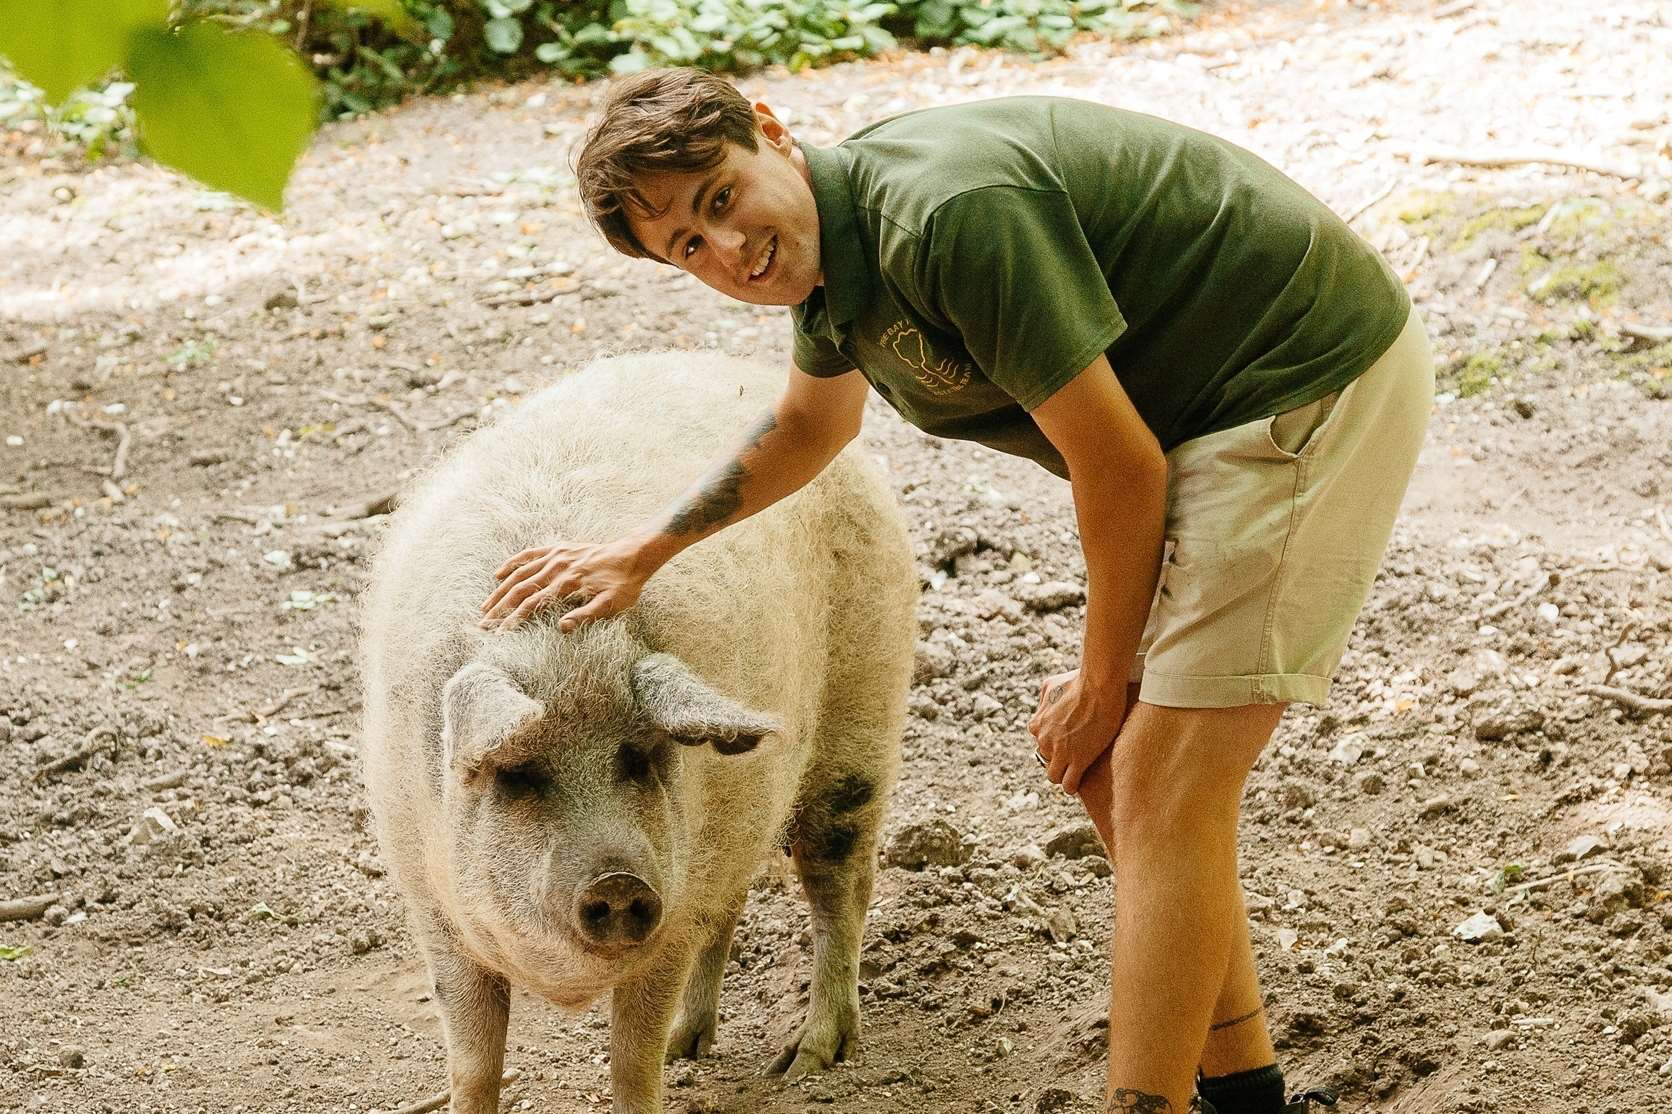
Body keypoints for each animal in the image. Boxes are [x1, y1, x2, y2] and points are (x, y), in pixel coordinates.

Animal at [357, 351, 922, 1103]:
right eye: (519, 773)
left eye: (640, 757)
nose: (619, 881)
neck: (561, 647)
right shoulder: (434, 908)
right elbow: (473, 1061)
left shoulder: (671, 916)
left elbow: (632, 1056)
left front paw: (658, 1069)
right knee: (734, 902)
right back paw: (693, 1046)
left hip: (865, 712)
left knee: (841, 881)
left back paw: (804, 1061)